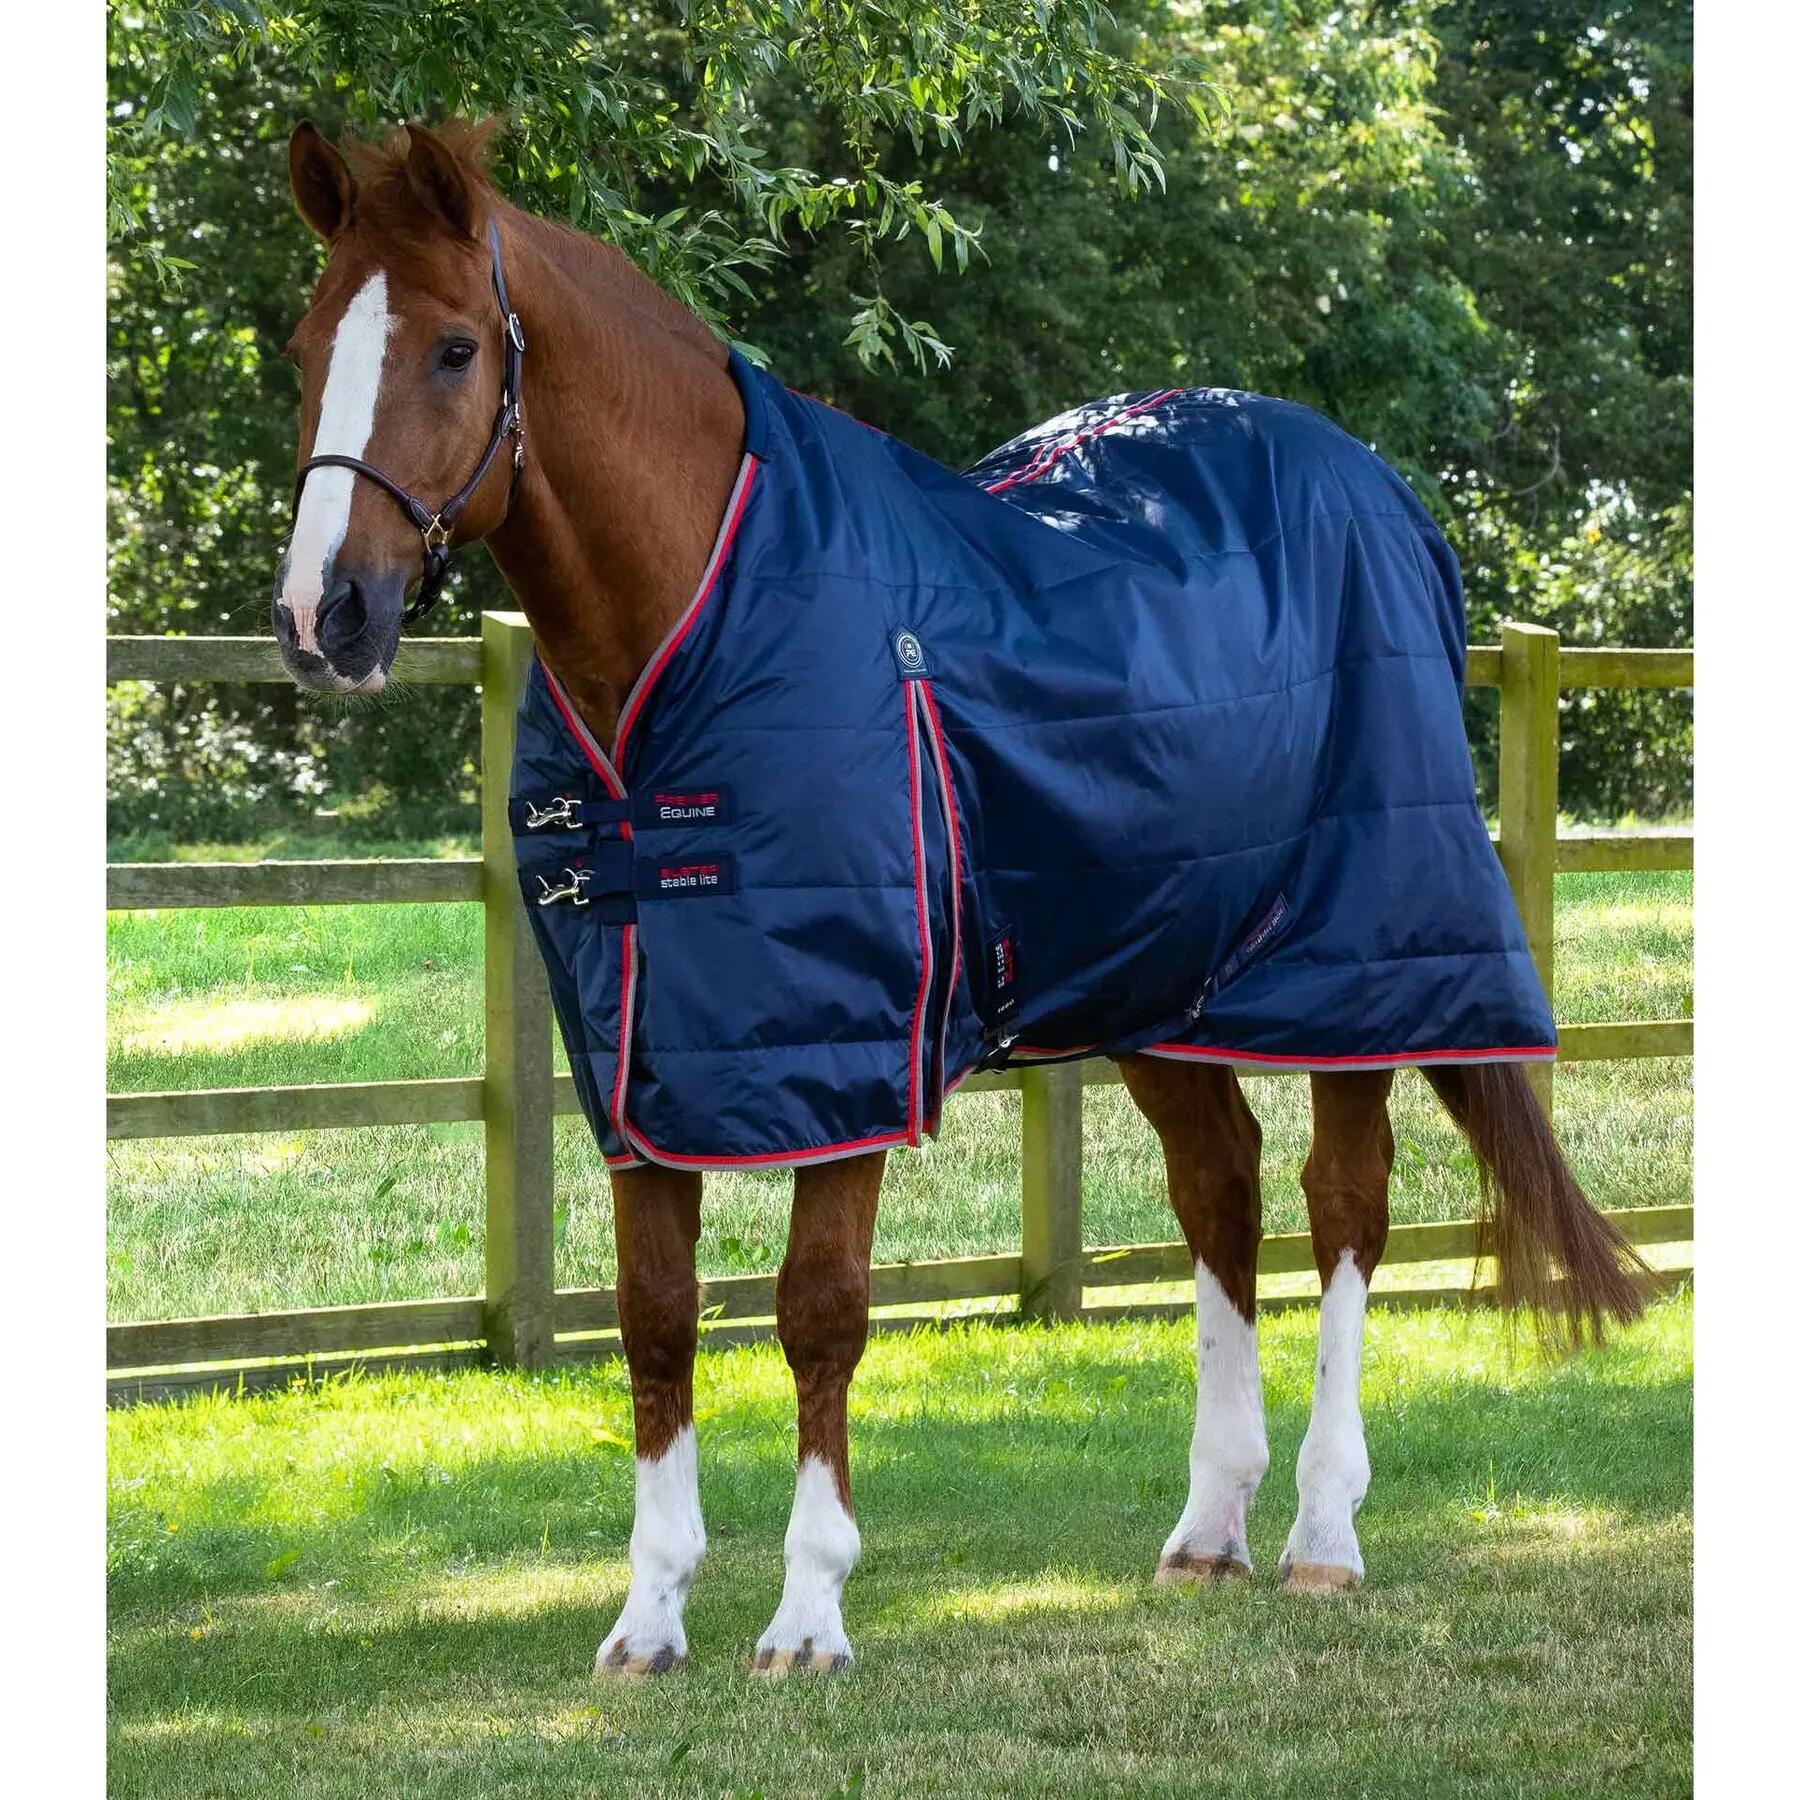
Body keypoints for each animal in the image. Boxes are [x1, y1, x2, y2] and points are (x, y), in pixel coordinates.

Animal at [271, 118, 1646, 1676]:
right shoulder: (643, 1058)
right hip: (1155, 976)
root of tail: (1388, 499)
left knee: (1343, 1202)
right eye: (310, 342)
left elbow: (818, 1313)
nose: (325, 616)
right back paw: (1209, 1530)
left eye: (454, 348)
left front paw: (809, 1614)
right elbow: (655, 1318)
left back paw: (1320, 1535)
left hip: (1358, 969)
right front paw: (649, 1617)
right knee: (1221, 1190)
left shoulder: (851, 1046)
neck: (696, 622)